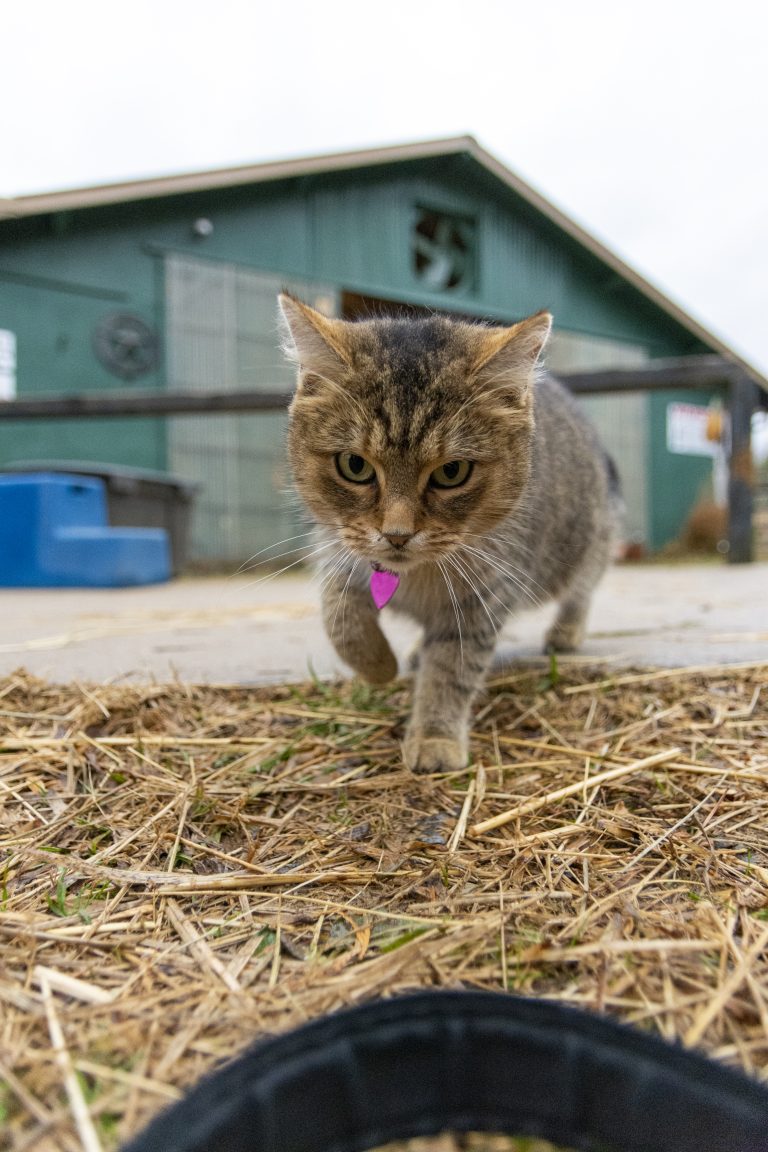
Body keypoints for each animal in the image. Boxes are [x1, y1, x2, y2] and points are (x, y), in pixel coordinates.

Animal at [279, 294, 621, 774]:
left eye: (452, 472)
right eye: (355, 465)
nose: (397, 535)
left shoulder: (482, 598)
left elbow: (452, 669)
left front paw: (434, 735)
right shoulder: (338, 553)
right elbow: (341, 619)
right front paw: (379, 667)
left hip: (586, 542)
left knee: (583, 587)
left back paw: (566, 631)